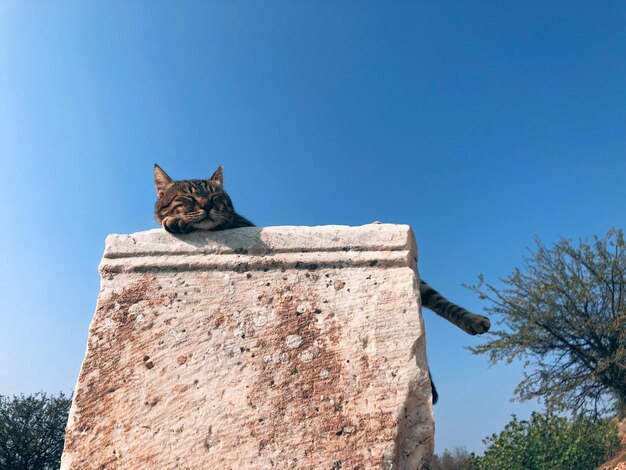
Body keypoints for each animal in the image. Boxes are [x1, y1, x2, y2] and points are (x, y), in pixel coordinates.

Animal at [154, 163, 490, 402]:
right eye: (188, 197)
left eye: (215, 196)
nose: (207, 205)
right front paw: (176, 220)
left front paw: (177, 221)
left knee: (434, 295)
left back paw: (474, 320)